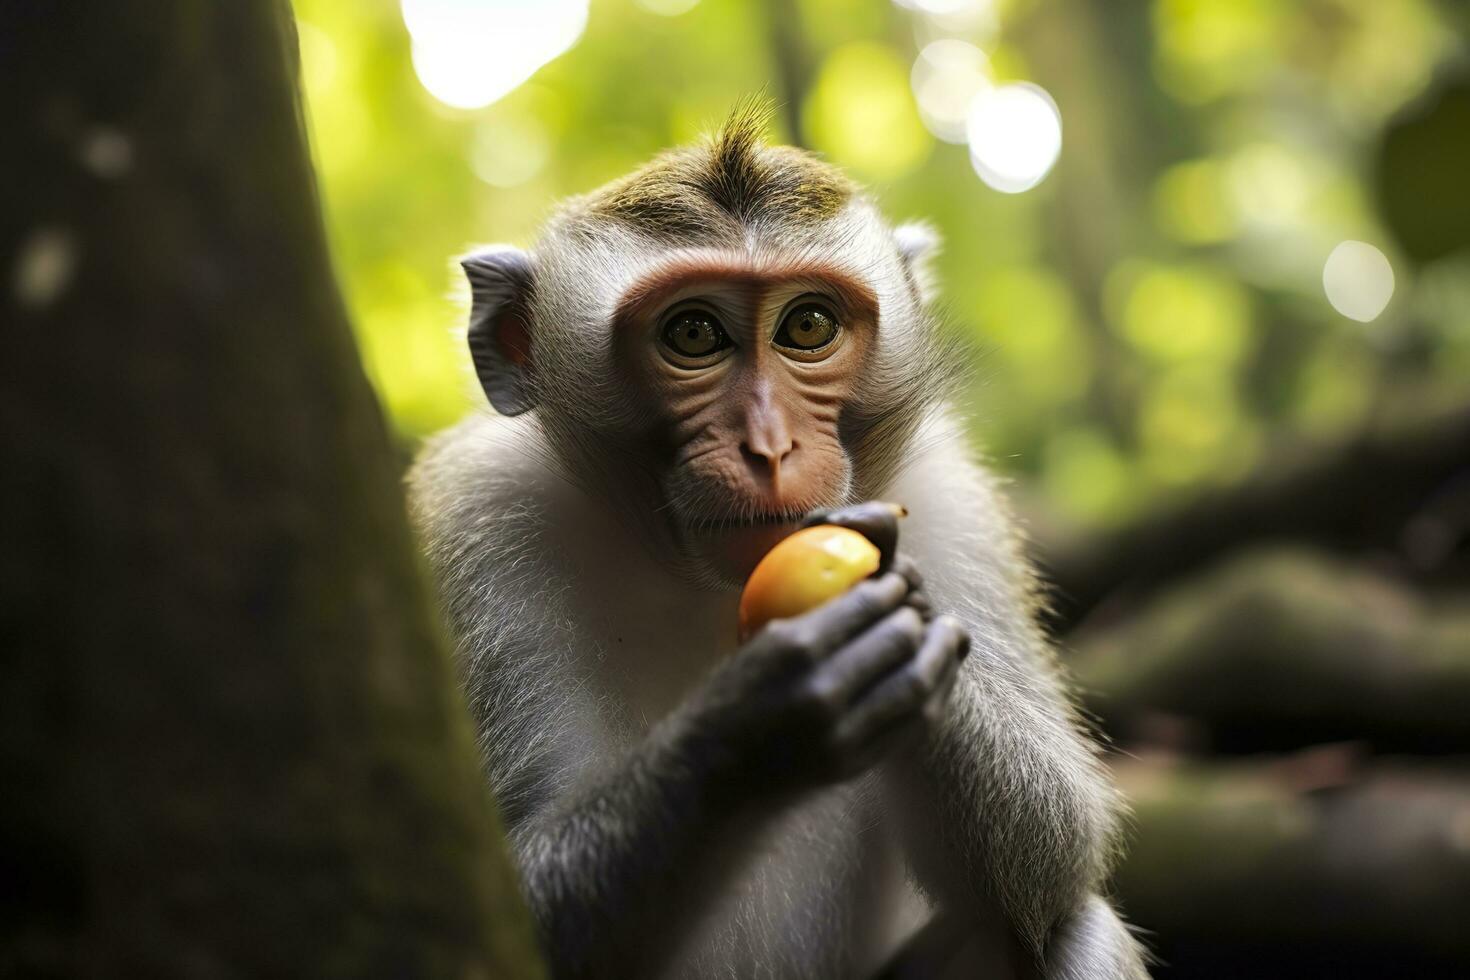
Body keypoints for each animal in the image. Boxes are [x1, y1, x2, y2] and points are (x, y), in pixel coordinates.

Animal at [408, 105, 1152, 980]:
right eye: (694, 333)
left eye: (808, 325)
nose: (769, 448)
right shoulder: (480, 519)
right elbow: (493, 906)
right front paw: (752, 726)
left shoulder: (951, 499)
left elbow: (1061, 848)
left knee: (1066, 923)